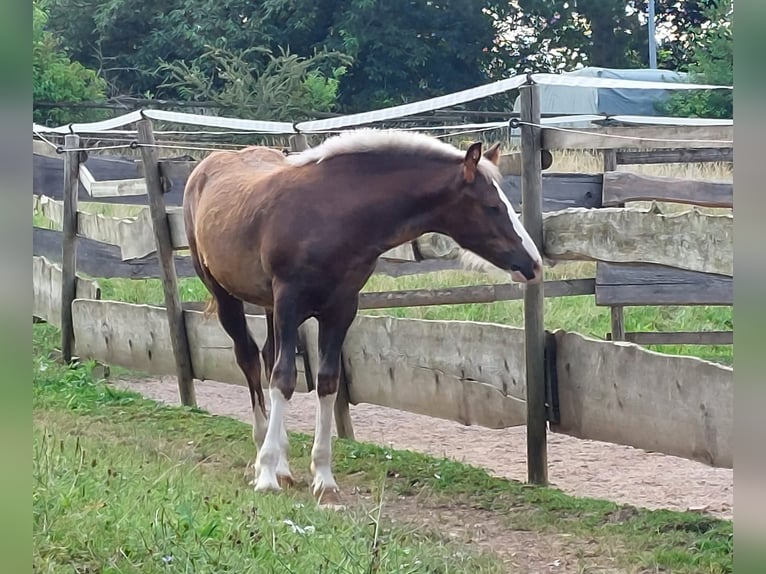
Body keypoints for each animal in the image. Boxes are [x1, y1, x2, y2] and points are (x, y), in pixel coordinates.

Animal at [184, 130, 544, 508]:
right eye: (492, 206)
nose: (533, 265)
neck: (334, 214)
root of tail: (204, 167)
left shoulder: (341, 309)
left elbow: (327, 382)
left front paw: (324, 480)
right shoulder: (289, 301)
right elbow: (283, 379)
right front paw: (265, 474)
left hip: (269, 307)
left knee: (267, 356)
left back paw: (283, 465)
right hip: (227, 294)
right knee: (250, 360)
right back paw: (263, 457)